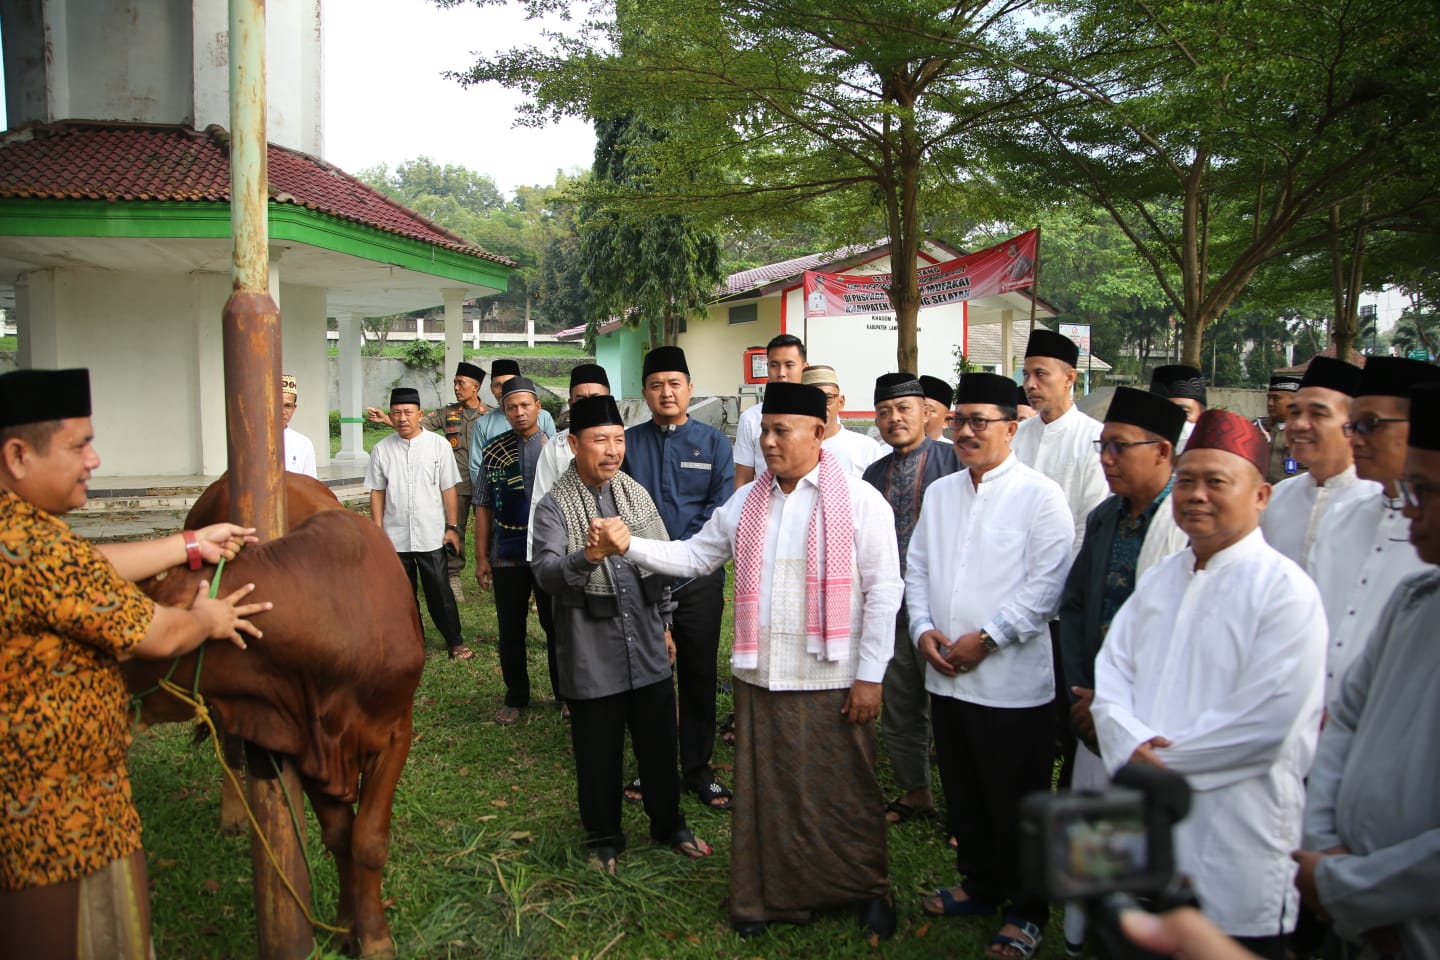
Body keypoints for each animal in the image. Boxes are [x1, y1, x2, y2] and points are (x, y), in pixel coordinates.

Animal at [125, 480, 420, 960]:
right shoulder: (305, 742)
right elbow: (339, 835)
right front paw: (346, 924)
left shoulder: (396, 732)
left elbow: (368, 840)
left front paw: (374, 937)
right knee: (229, 745)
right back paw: (233, 812)